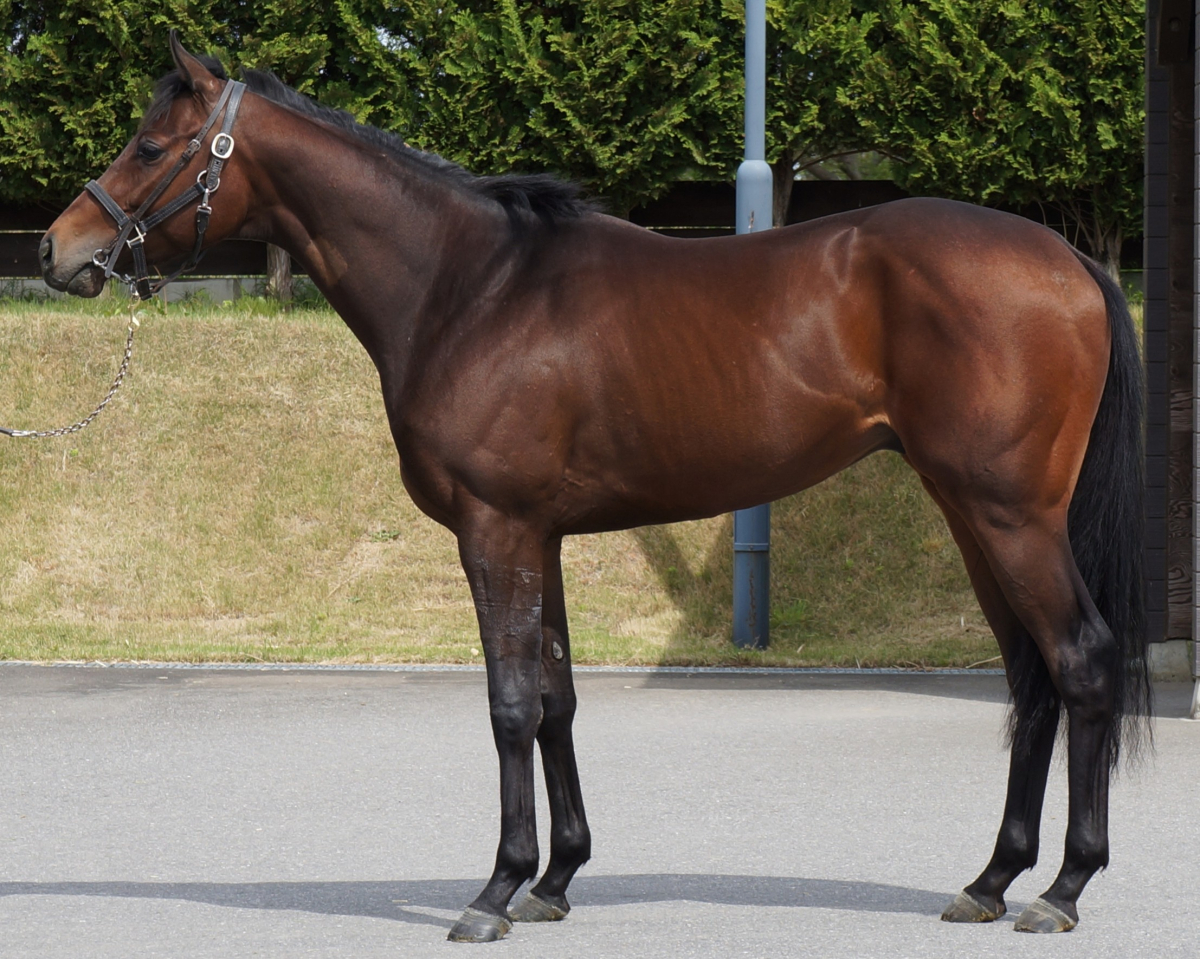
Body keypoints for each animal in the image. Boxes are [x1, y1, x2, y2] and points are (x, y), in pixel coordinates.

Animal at [38, 35, 1150, 941]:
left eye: (151, 145)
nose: (58, 249)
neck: (471, 286)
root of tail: (1070, 260)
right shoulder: (543, 535)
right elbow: (558, 697)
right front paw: (556, 878)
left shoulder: (493, 530)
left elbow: (508, 704)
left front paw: (494, 890)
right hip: (973, 515)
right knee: (1031, 677)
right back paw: (993, 877)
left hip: (1010, 516)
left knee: (1081, 660)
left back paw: (1062, 889)